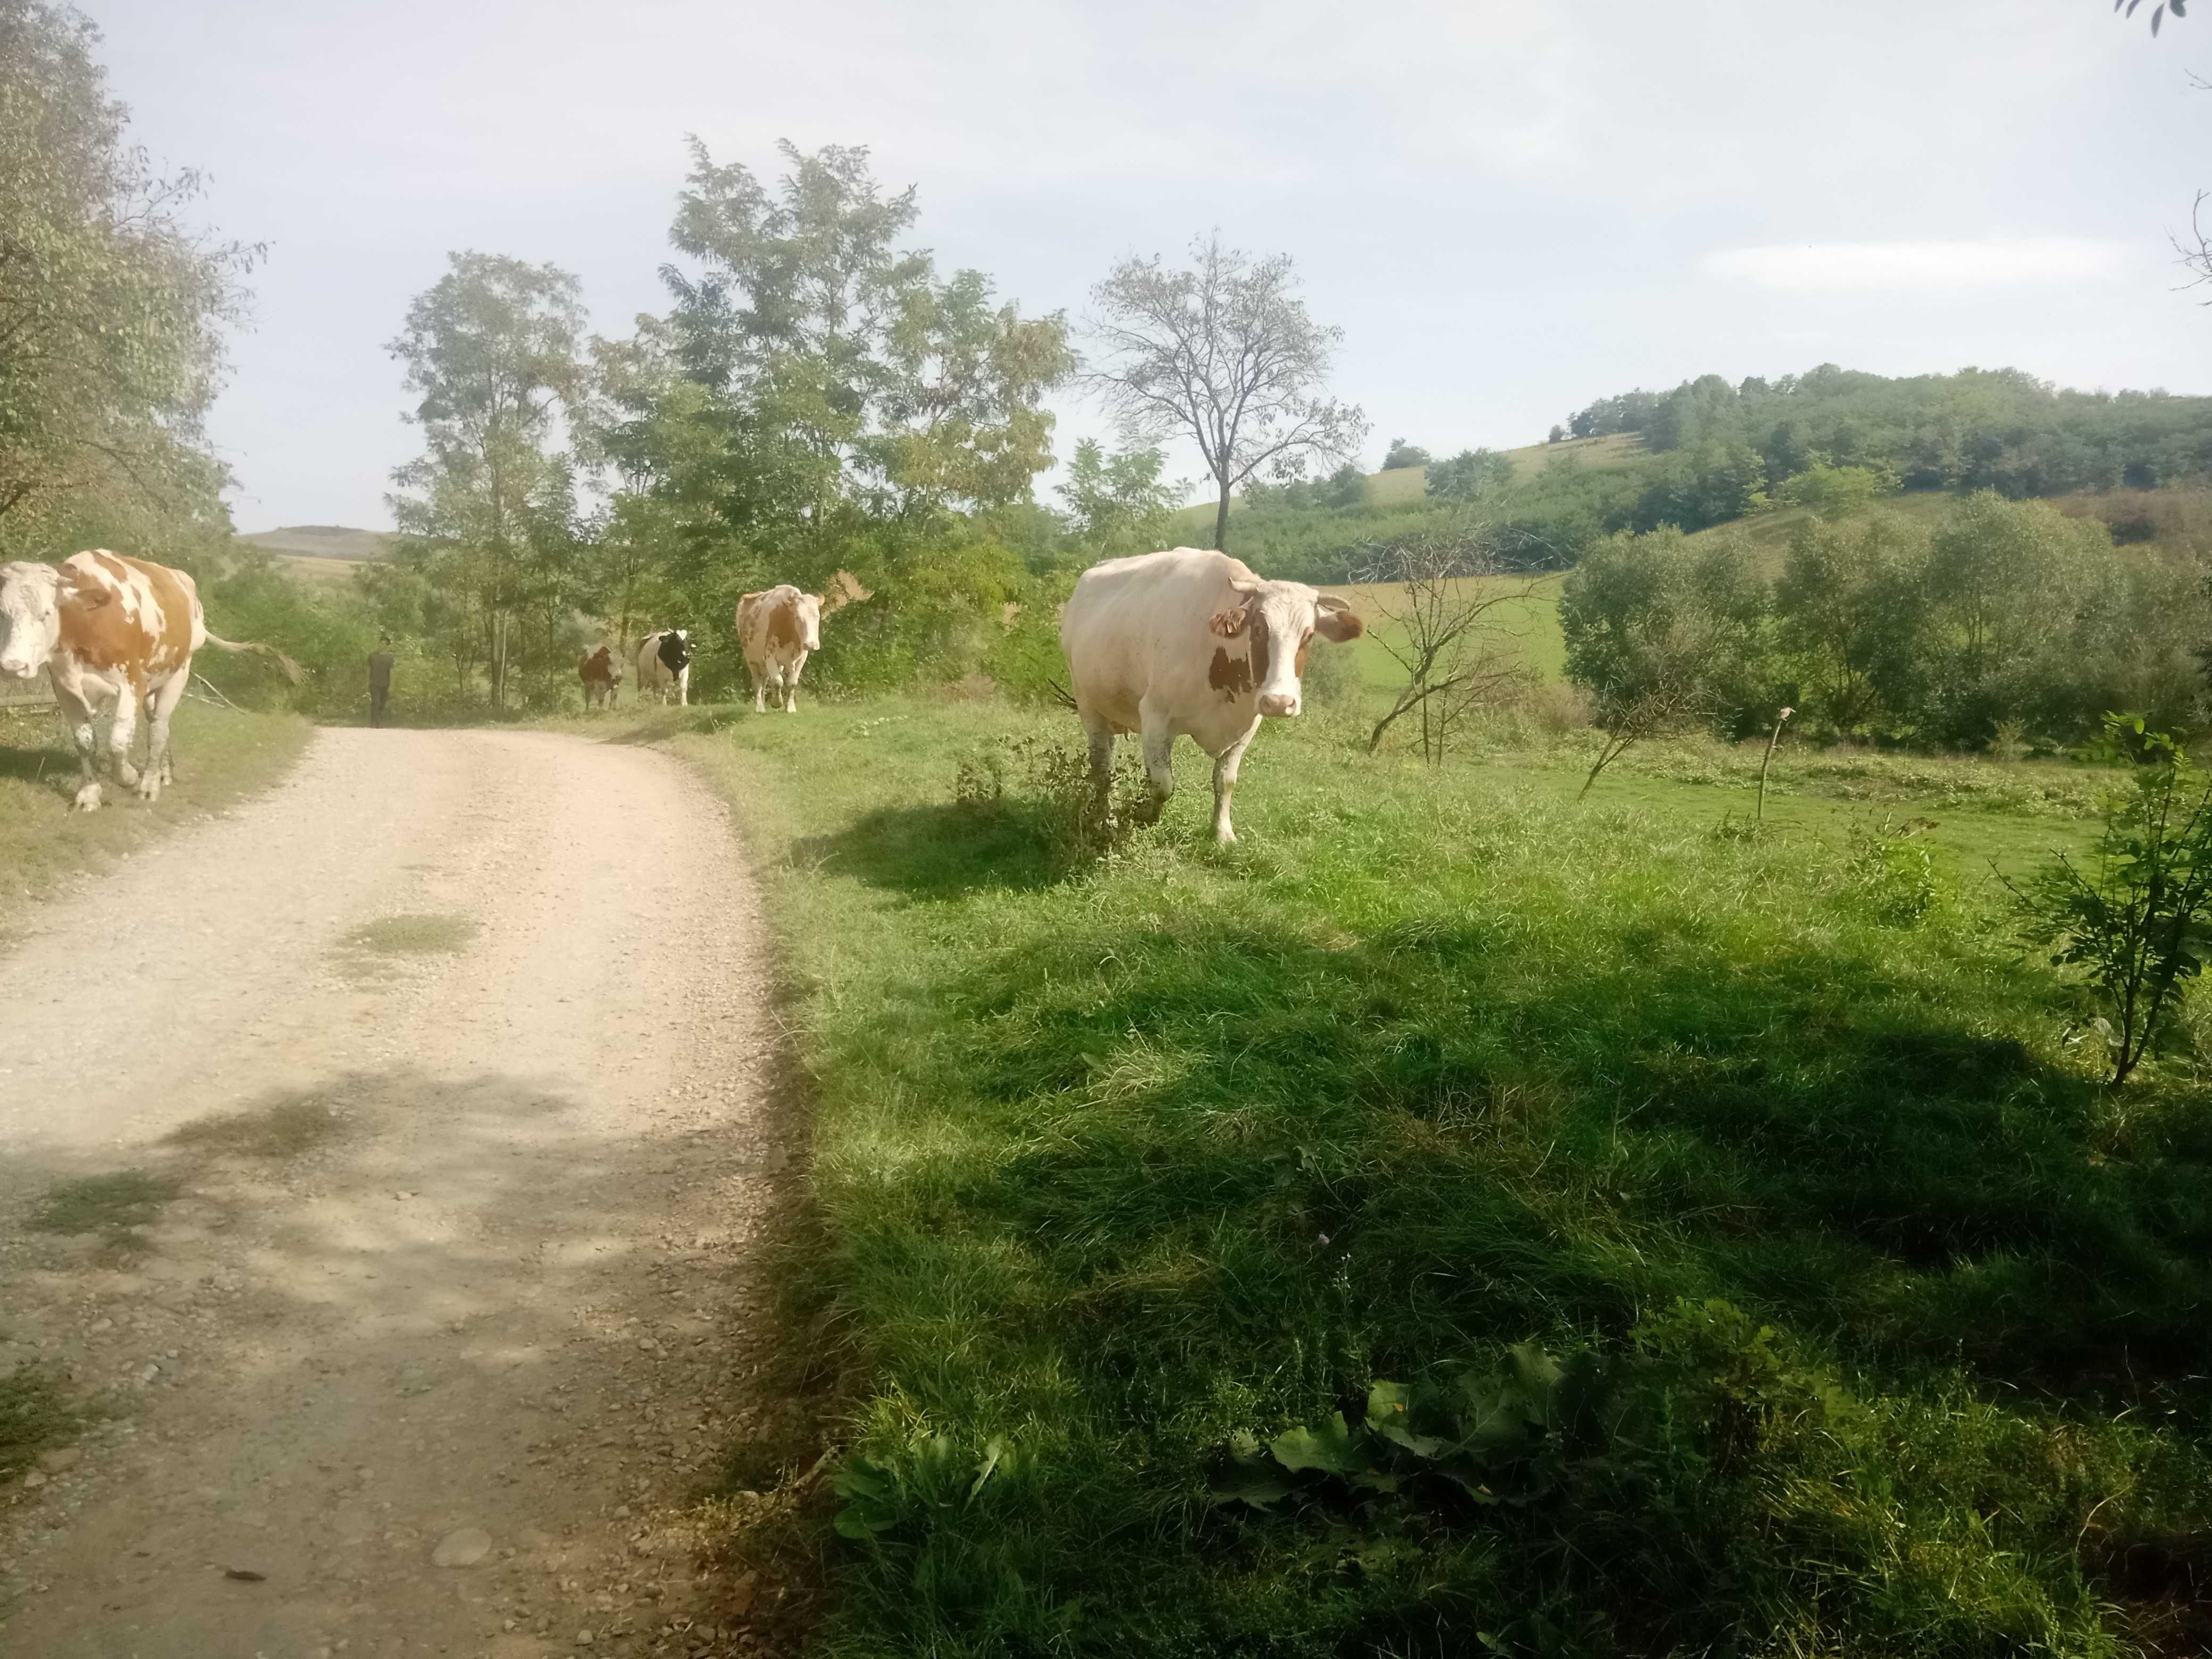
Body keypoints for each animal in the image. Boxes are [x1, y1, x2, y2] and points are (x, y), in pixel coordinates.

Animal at [0, 553, 303, 814]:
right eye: (3, 613)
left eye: (47, 613)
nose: (13, 666)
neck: (85, 623)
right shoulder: (65, 686)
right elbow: (84, 741)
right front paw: (89, 795)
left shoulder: (131, 683)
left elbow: (118, 741)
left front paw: (129, 776)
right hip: (153, 686)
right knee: (160, 726)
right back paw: (162, 773)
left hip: (178, 673)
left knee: (158, 728)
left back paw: (148, 784)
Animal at [734, 588, 823, 712]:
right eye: (798, 617)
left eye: (817, 616)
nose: (811, 644)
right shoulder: (769, 656)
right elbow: (778, 681)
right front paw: (777, 703)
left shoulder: (802, 657)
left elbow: (792, 683)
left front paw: (790, 707)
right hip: (751, 660)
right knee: (757, 683)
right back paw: (760, 707)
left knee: (764, 682)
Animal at [1057, 548, 1353, 845]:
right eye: (1259, 629)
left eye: (1309, 635)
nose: (1280, 703)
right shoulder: (1155, 718)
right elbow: (1162, 784)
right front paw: (1145, 817)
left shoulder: (1247, 727)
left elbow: (1226, 781)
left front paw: (1222, 833)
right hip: (1088, 704)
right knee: (1102, 767)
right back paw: (1107, 819)